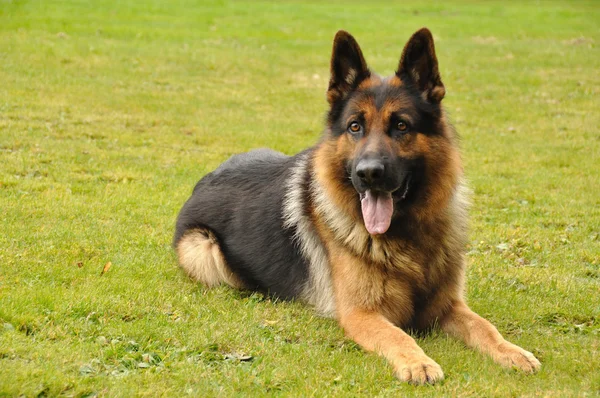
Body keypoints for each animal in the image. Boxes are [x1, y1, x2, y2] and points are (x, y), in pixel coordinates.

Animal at [172, 27, 540, 382]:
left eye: (401, 125)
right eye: (354, 127)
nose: (369, 173)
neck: (406, 237)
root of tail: (206, 178)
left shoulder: (448, 305)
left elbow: (485, 326)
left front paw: (512, 352)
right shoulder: (361, 314)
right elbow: (399, 336)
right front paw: (418, 363)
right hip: (205, 251)